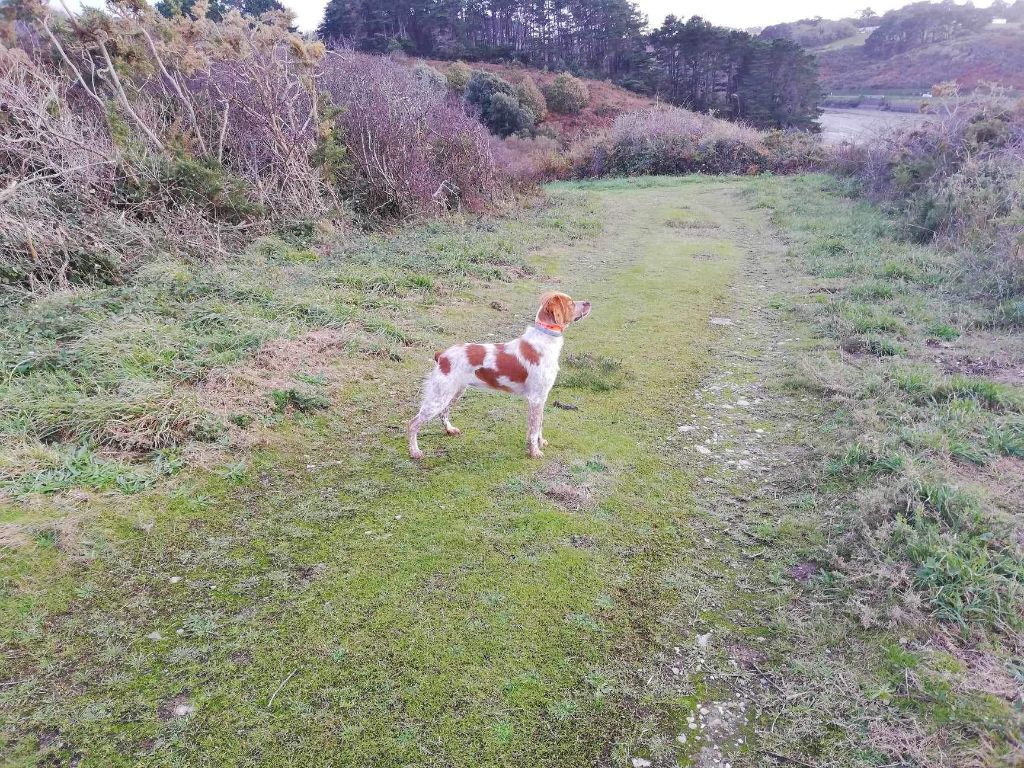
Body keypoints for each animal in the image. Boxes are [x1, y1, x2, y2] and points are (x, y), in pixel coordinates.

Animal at [408, 292, 592, 459]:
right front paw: (534, 452)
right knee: (413, 423)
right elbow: (533, 429)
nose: (588, 302)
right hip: (439, 396)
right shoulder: (536, 398)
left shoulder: (542, 396)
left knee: (443, 412)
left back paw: (450, 430)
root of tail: (442, 355)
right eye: (570, 303)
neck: (545, 338)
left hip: (454, 392)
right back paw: (415, 452)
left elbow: (538, 425)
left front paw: (540, 443)